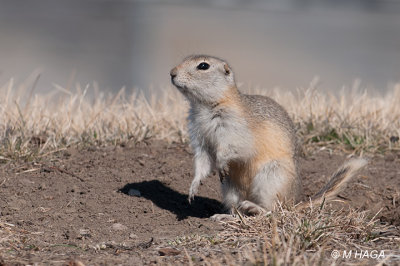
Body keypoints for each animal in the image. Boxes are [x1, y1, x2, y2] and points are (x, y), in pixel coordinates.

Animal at [169, 54, 366, 220]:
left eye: (203, 66)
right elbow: (202, 161)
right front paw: (193, 188)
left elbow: (233, 149)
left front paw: (222, 164)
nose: (172, 73)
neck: (205, 106)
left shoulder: (236, 131)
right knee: (238, 211)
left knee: (273, 211)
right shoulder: (200, 138)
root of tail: (293, 204)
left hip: (270, 179)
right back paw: (225, 216)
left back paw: (254, 208)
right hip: (230, 189)